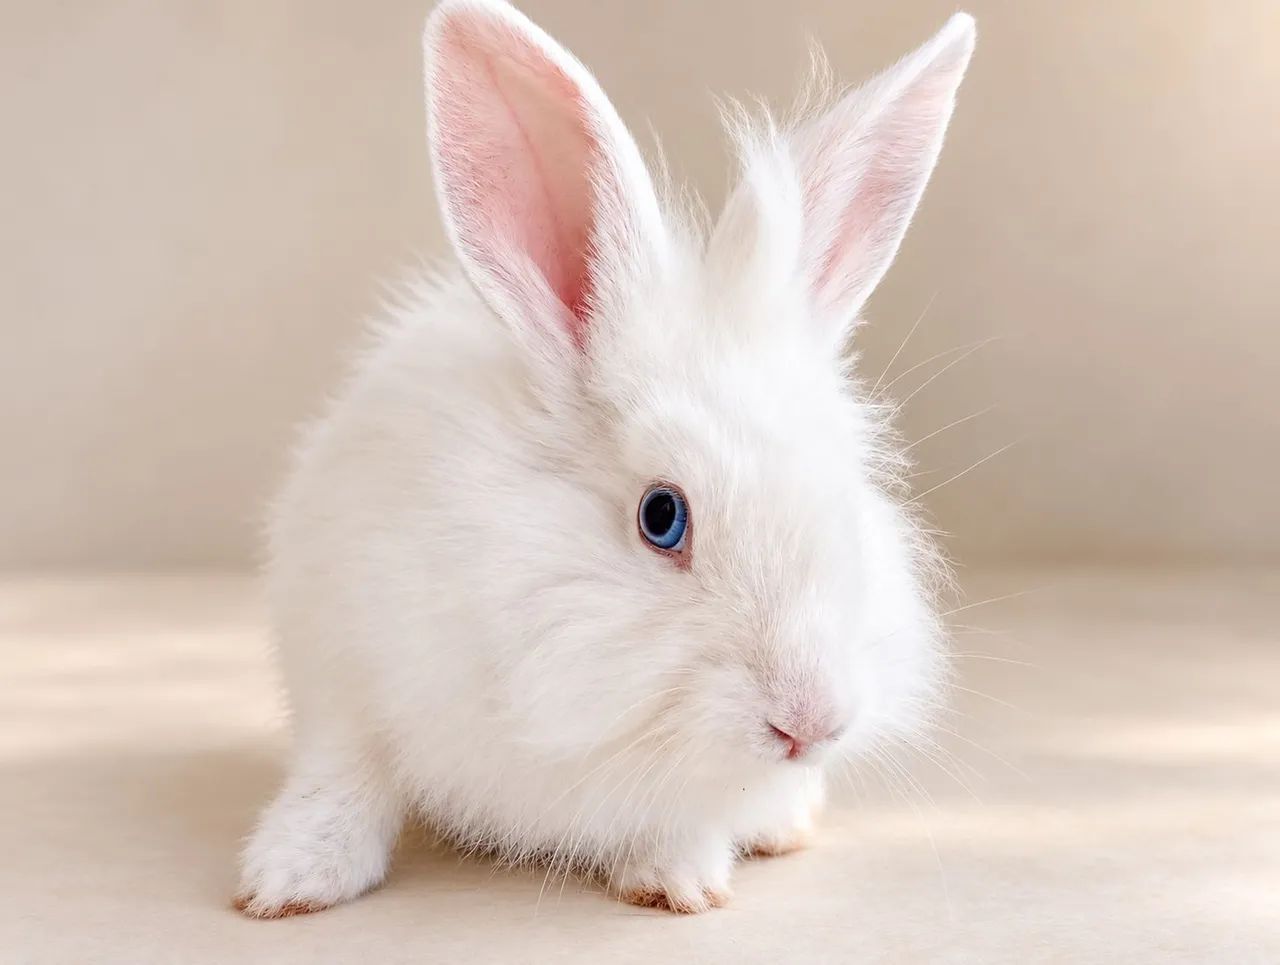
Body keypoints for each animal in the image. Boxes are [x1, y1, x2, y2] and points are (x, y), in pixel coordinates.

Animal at [235, 0, 975, 918]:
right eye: (662, 516)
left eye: (847, 493)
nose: (813, 721)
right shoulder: (345, 667)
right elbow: (348, 775)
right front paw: (288, 880)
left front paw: (677, 881)